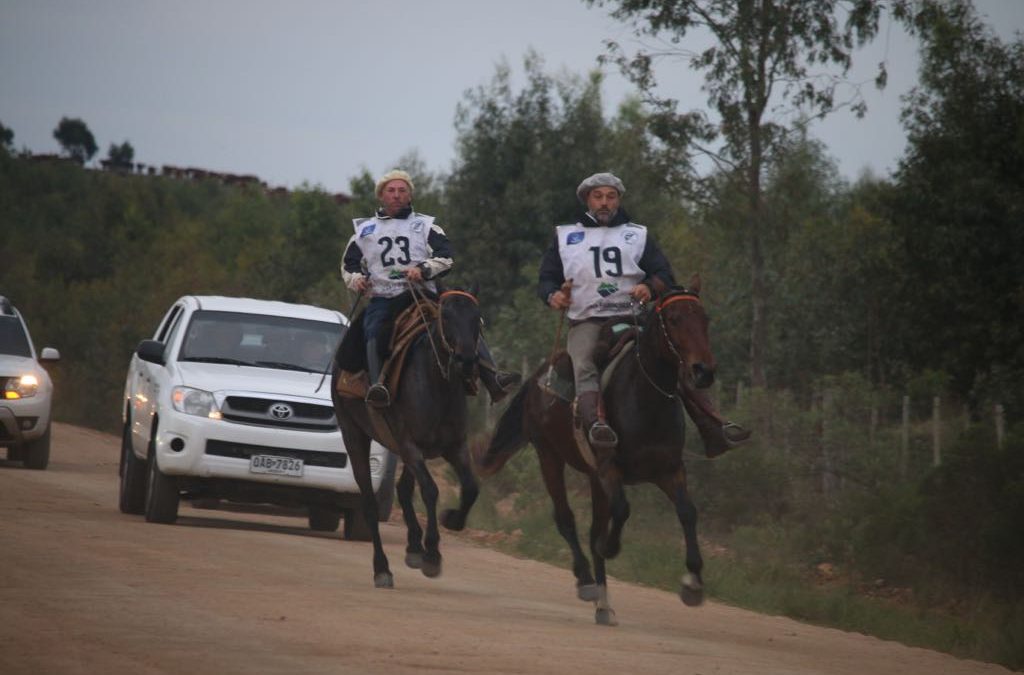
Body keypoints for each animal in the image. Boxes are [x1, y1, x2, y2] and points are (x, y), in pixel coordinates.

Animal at [331, 288, 483, 589]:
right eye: (445, 317)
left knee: (403, 489)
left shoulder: (455, 447)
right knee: (369, 503)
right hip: (355, 434)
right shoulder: (410, 445)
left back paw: (413, 547)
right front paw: (432, 555)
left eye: (477, 318)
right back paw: (382, 569)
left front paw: (452, 520)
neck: (437, 384)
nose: (466, 362)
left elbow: (471, 487)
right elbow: (431, 490)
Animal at [477, 276, 712, 626]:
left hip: (591, 478)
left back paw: (603, 605)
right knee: (566, 519)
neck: (646, 398)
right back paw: (587, 582)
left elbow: (687, 512)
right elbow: (622, 512)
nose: (703, 371)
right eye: (673, 319)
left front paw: (693, 584)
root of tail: (538, 377)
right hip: (549, 456)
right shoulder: (608, 468)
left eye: (704, 318)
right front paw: (610, 548)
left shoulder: (669, 470)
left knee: (591, 529)